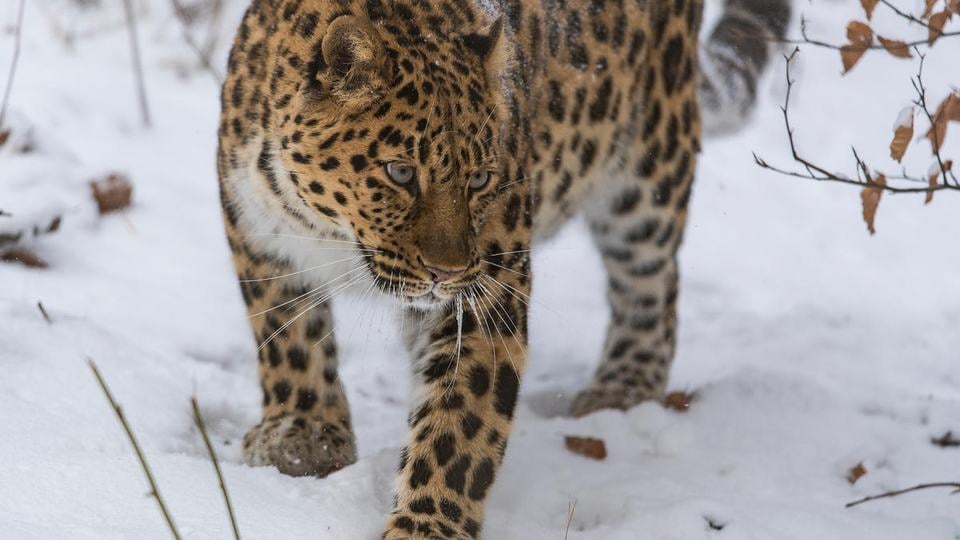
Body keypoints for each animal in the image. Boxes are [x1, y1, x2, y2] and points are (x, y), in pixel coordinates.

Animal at [216, 0, 791, 537]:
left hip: (649, 167)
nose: (447, 273)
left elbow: (460, 422)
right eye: (400, 173)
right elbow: (289, 341)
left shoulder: (490, 289)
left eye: (479, 179)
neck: (332, 231)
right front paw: (303, 437)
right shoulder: (257, 235)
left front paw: (427, 526)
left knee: (651, 279)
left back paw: (624, 383)